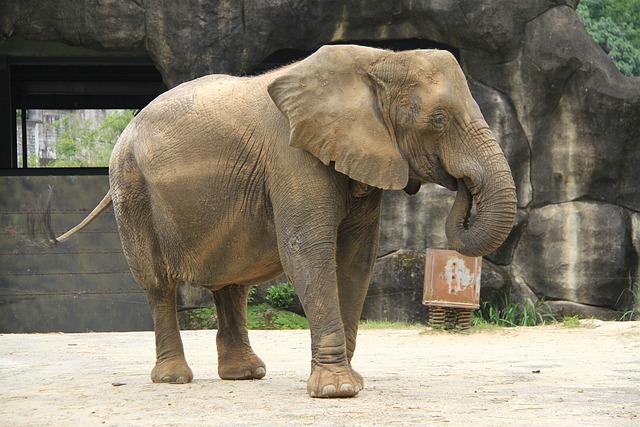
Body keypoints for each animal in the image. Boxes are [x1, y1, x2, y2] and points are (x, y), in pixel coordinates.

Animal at [52, 45, 516, 400]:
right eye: (438, 120)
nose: (461, 185)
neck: (379, 61)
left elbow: (356, 260)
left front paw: (351, 382)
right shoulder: (292, 155)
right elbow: (307, 252)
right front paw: (336, 391)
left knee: (232, 284)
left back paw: (245, 374)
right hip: (130, 187)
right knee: (156, 282)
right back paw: (174, 379)